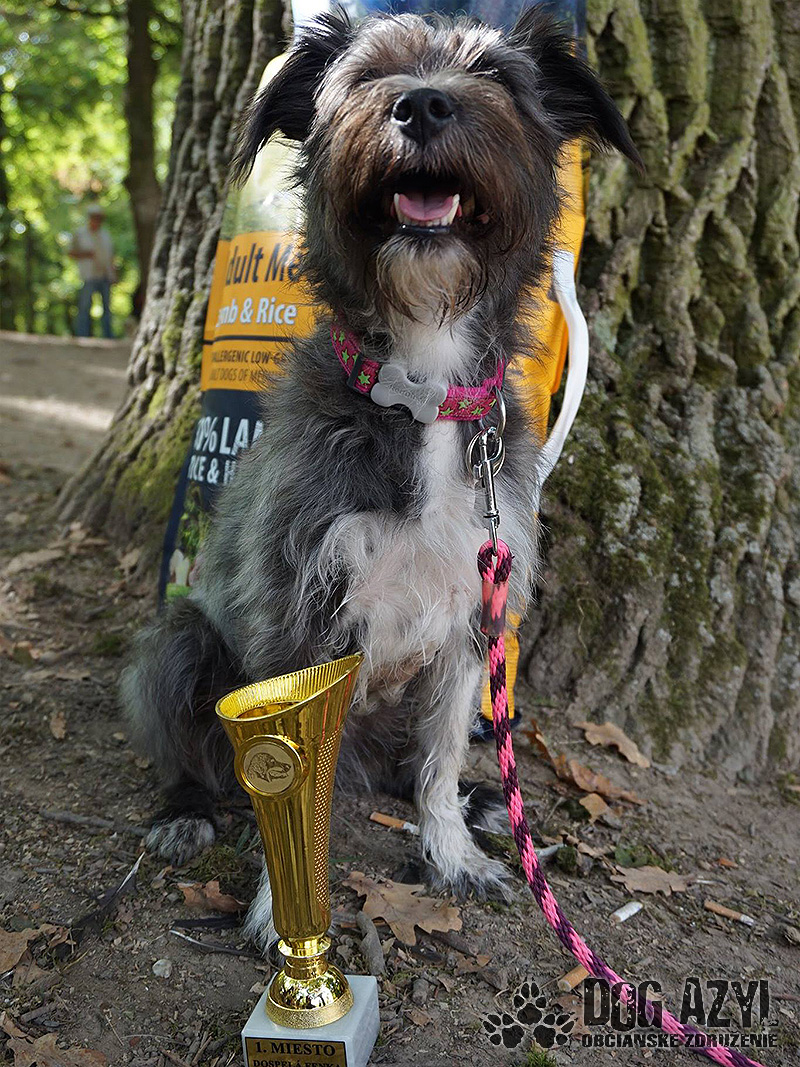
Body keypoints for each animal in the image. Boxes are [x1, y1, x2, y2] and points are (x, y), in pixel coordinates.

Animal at [123, 8, 641, 950]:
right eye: (366, 76)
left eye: (498, 76)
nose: (423, 104)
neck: (422, 388)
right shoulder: (301, 621)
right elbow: (293, 793)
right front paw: (280, 906)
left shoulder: (473, 625)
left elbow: (435, 766)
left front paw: (451, 856)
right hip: (180, 641)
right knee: (189, 745)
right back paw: (184, 810)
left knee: (423, 764)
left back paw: (478, 804)